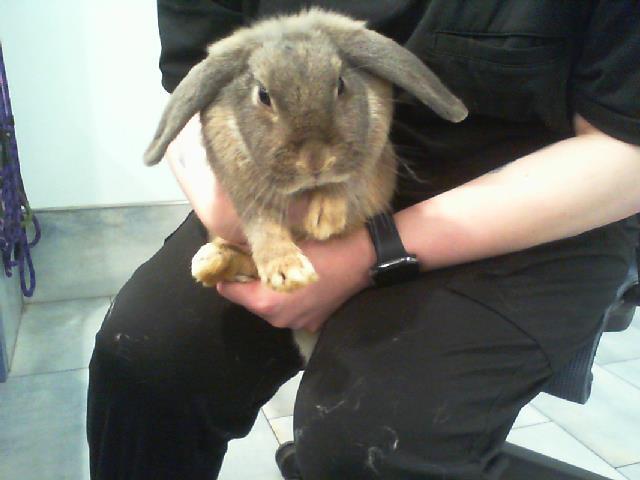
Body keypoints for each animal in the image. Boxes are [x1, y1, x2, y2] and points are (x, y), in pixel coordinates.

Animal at [143, 8, 467, 295]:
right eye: (263, 95)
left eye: (340, 84)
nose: (315, 161)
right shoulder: (242, 188)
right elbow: (263, 226)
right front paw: (288, 272)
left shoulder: (369, 158)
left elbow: (347, 182)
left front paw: (325, 218)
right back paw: (213, 262)